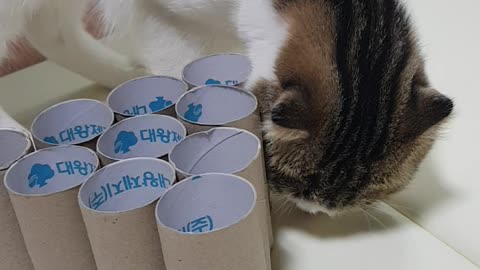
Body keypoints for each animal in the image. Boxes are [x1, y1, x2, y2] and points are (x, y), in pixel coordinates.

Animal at [0, 0, 452, 215]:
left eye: (368, 193)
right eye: (296, 184)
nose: (315, 209)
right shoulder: (156, 14)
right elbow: (181, 67)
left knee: (49, 29)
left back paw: (120, 72)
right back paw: (16, 137)